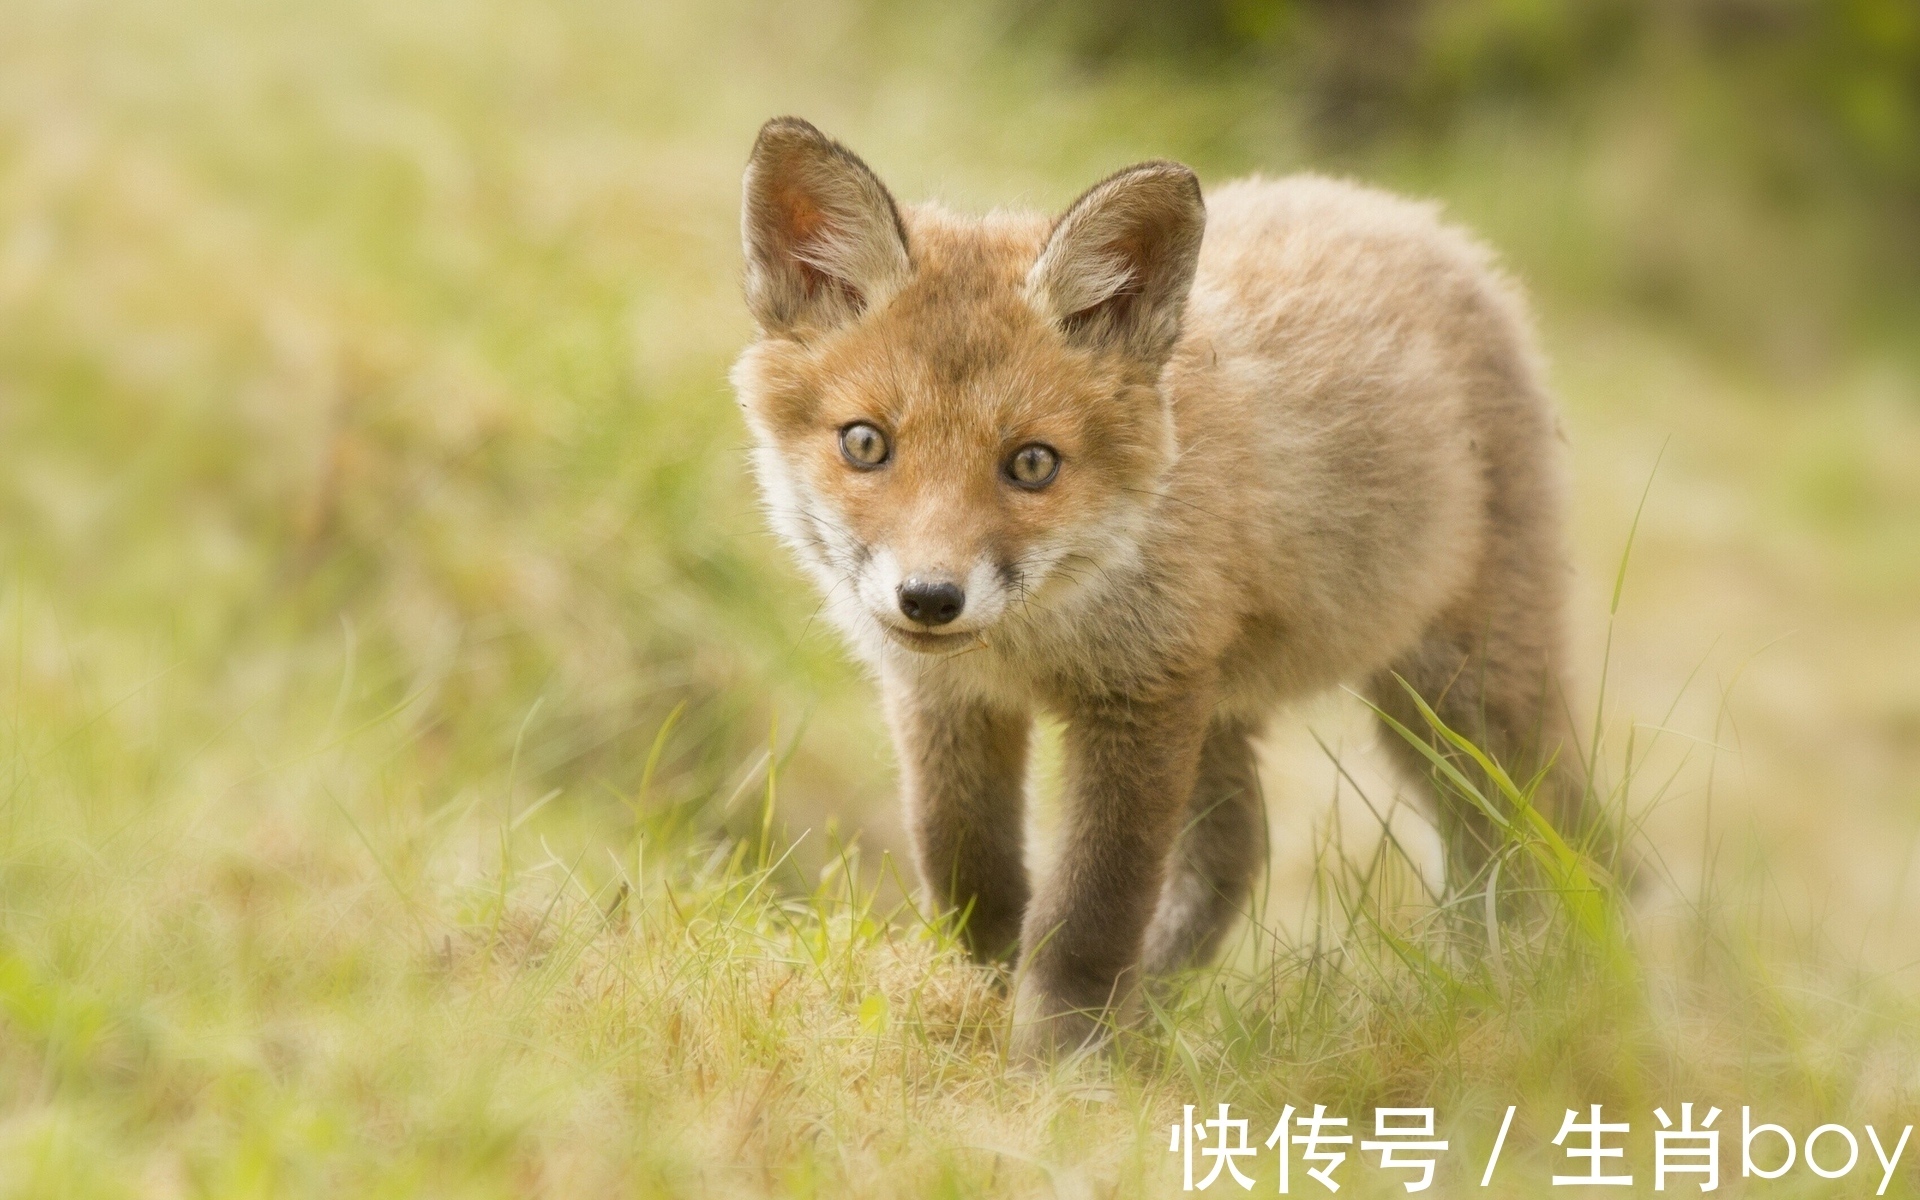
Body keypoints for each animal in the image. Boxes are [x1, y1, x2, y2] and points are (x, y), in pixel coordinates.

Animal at [725, 117, 1612, 1059]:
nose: (930, 598)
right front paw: (985, 996)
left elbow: (1090, 909)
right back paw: (1157, 1003)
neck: (1038, 639)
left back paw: (1539, 989)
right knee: (1239, 850)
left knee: (1544, 838)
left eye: (1032, 464)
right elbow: (968, 866)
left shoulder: (1141, 696)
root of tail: (1413, 216)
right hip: (1234, 705)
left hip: (1460, 701)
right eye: (865, 444)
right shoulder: (948, 696)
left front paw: (1061, 1059)